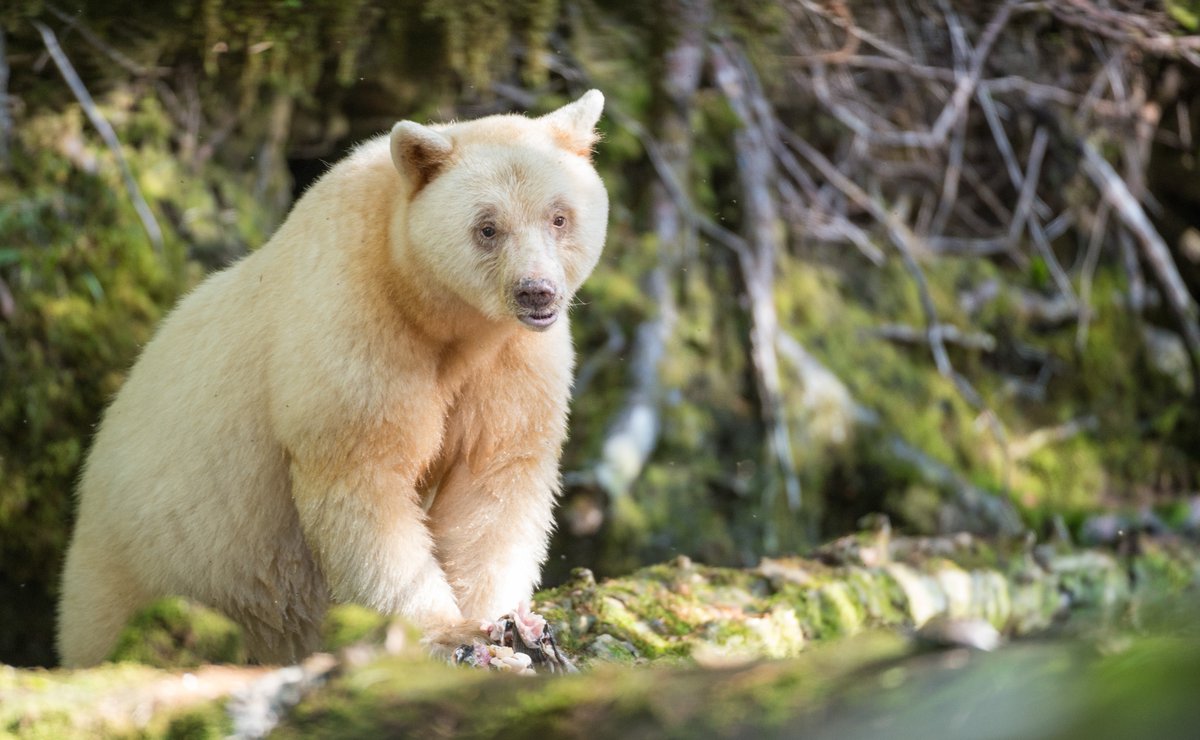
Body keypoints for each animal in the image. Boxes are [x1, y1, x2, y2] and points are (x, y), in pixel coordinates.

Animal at [57, 90, 608, 667]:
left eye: (559, 217)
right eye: (486, 227)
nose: (536, 291)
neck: (439, 312)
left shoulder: (512, 359)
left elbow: (496, 477)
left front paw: (510, 625)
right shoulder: (354, 324)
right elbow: (366, 479)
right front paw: (451, 635)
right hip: (136, 574)